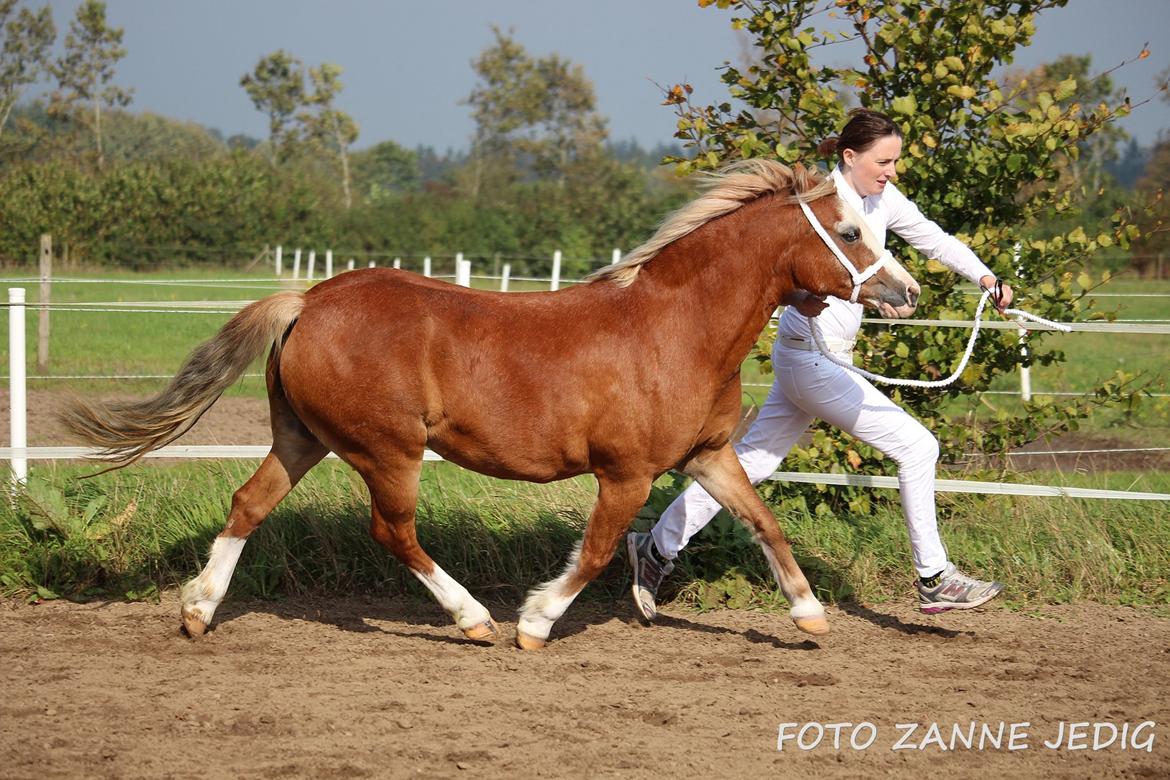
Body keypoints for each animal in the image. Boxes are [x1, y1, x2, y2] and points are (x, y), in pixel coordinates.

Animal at [64, 159, 921, 645]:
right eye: (849, 230)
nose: (905, 292)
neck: (675, 329)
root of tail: (307, 299)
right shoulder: (626, 473)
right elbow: (596, 552)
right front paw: (534, 623)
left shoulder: (708, 457)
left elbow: (764, 522)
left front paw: (810, 617)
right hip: (388, 450)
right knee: (393, 532)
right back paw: (473, 620)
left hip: (304, 437)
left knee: (249, 503)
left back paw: (198, 612)